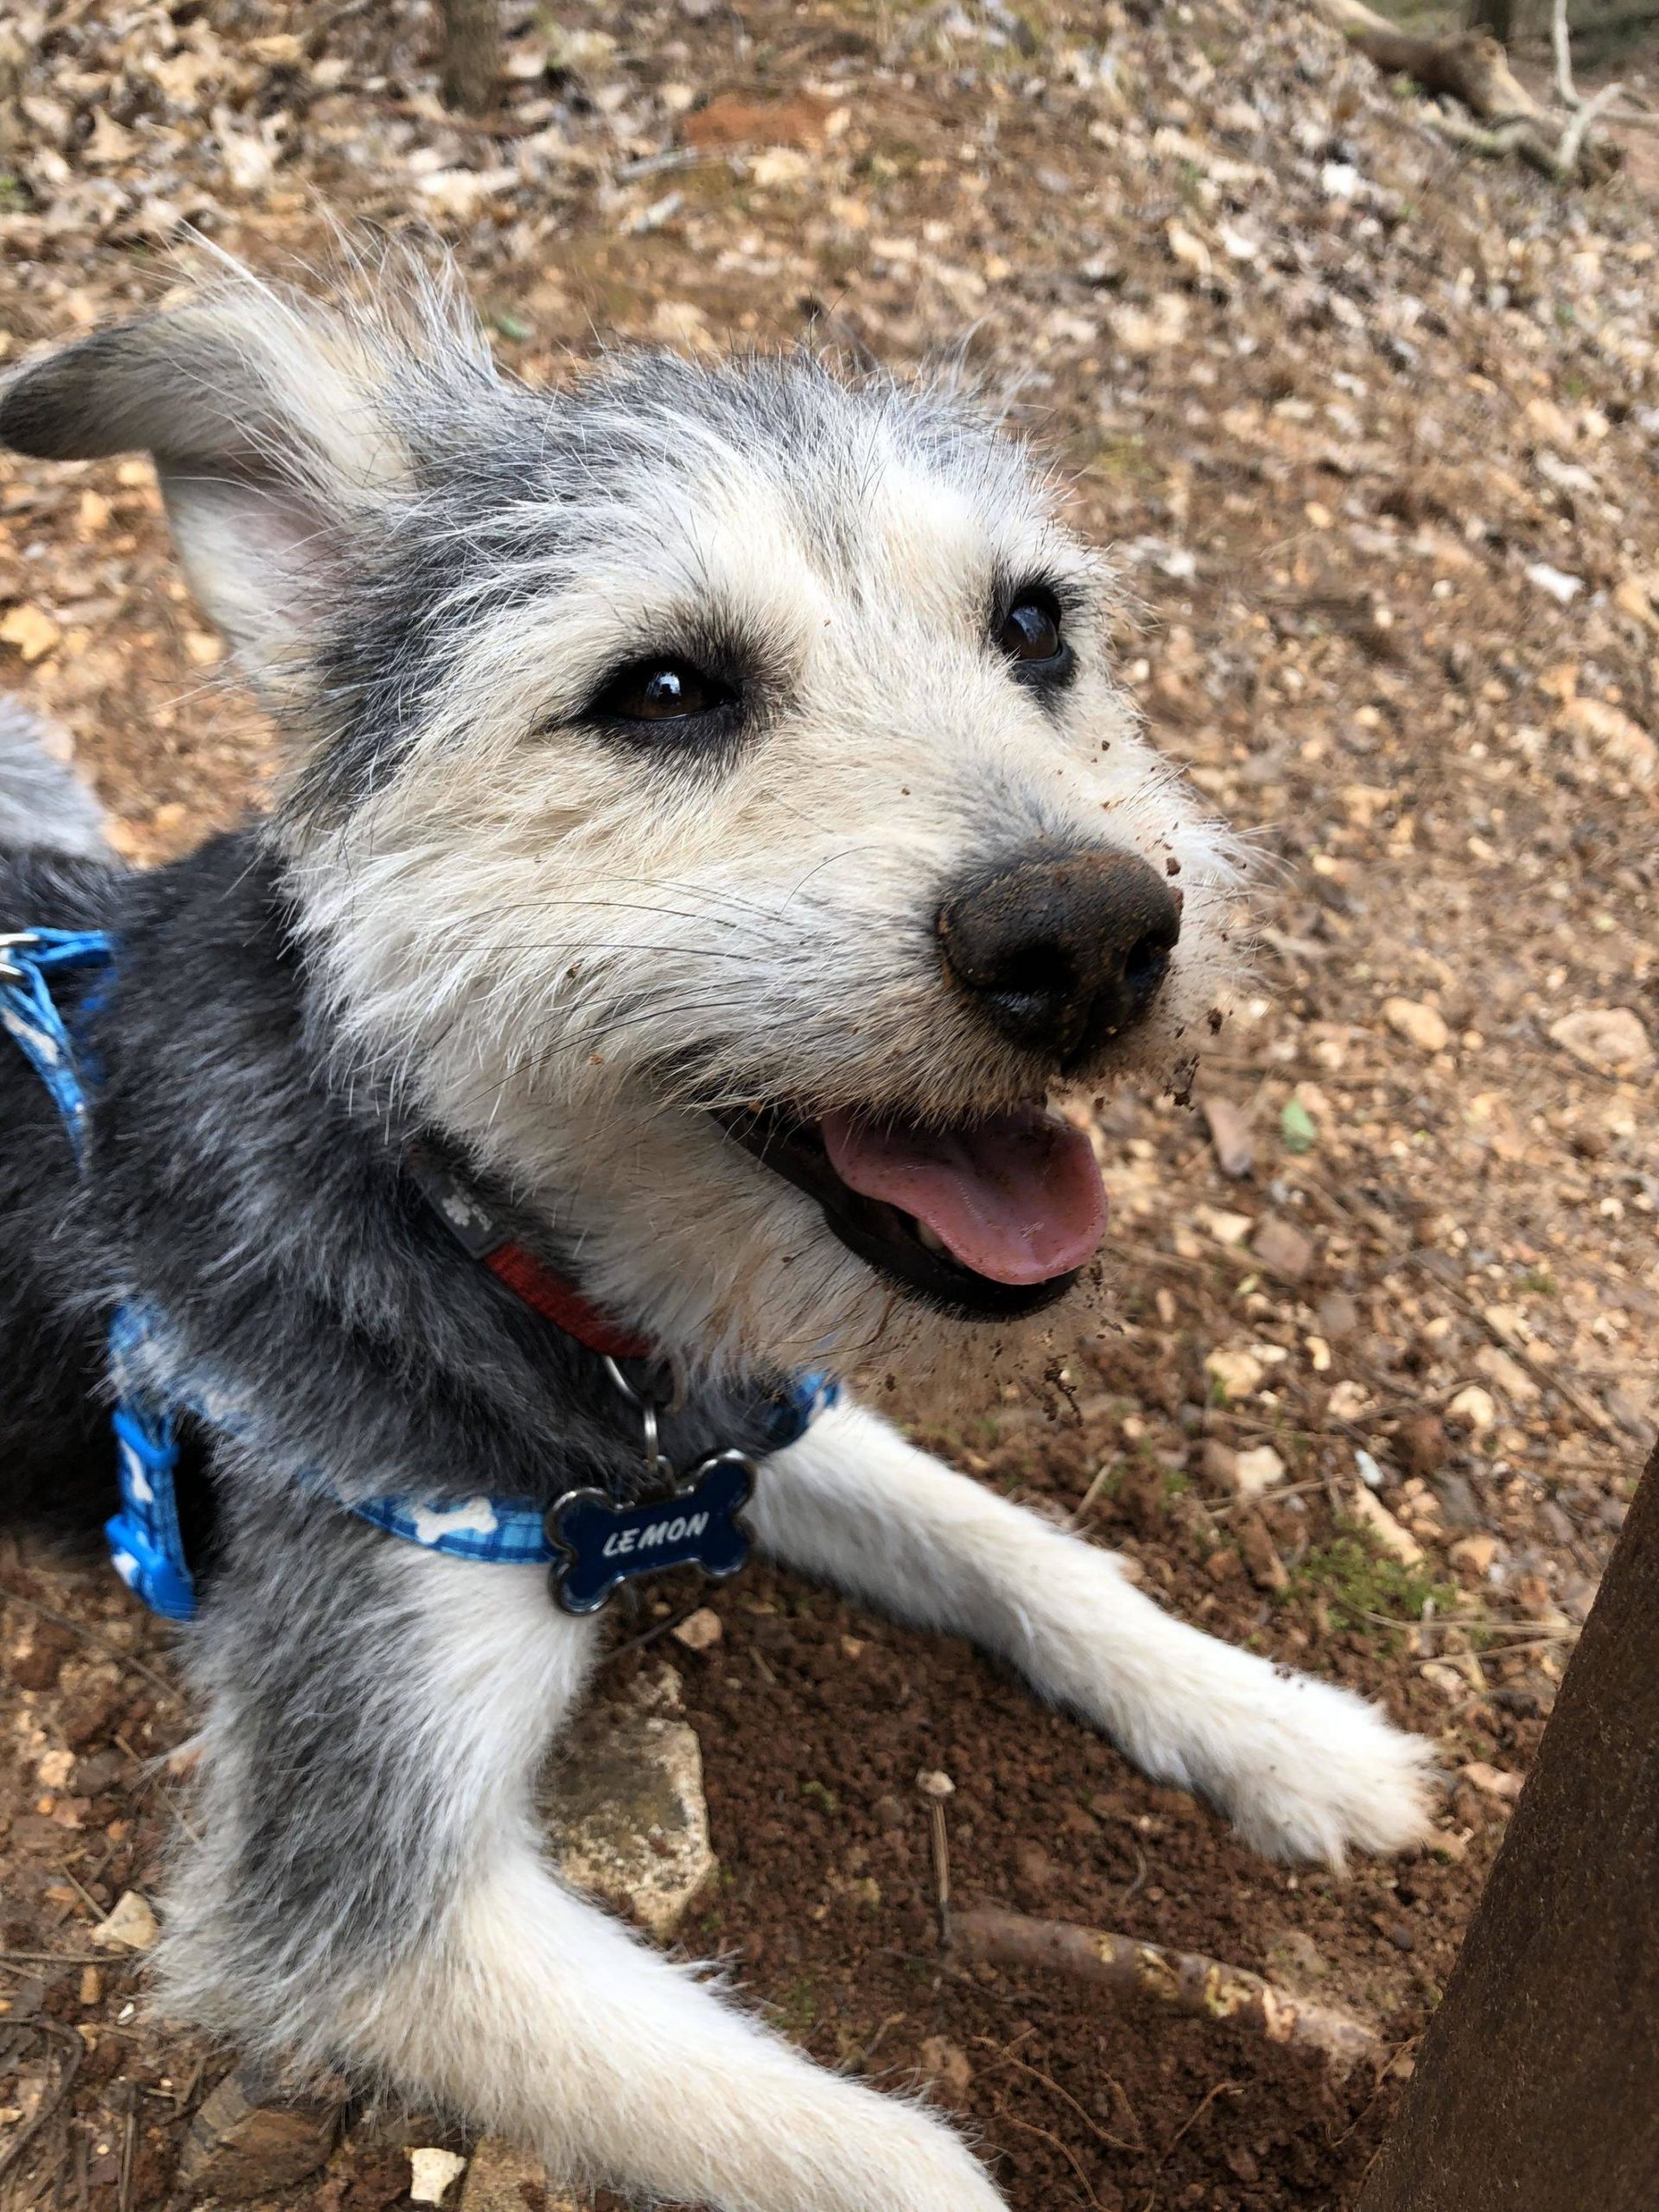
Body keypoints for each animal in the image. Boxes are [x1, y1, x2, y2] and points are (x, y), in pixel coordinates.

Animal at [0, 271, 1433, 2212]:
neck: (479, 1224)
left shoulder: (739, 1411)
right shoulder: (363, 1894)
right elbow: (886, 2155)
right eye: (662, 690)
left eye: (1036, 626)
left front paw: (1278, 1724)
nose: (1092, 936)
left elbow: (1019, 1547)